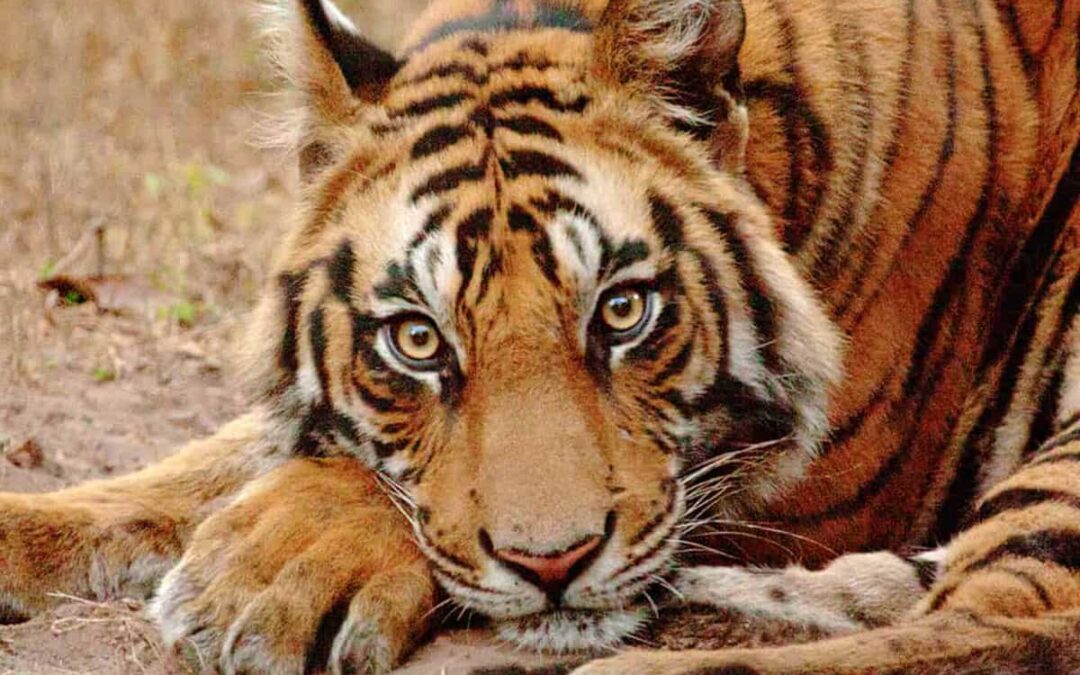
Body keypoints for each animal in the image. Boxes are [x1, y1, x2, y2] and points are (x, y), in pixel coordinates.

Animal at [1, 0, 1078, 673]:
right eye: (418, 340)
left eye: (623, 310)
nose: (555, 567)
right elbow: (173, 477)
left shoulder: (820, 478)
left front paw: (261, 578)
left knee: (1011, 624)